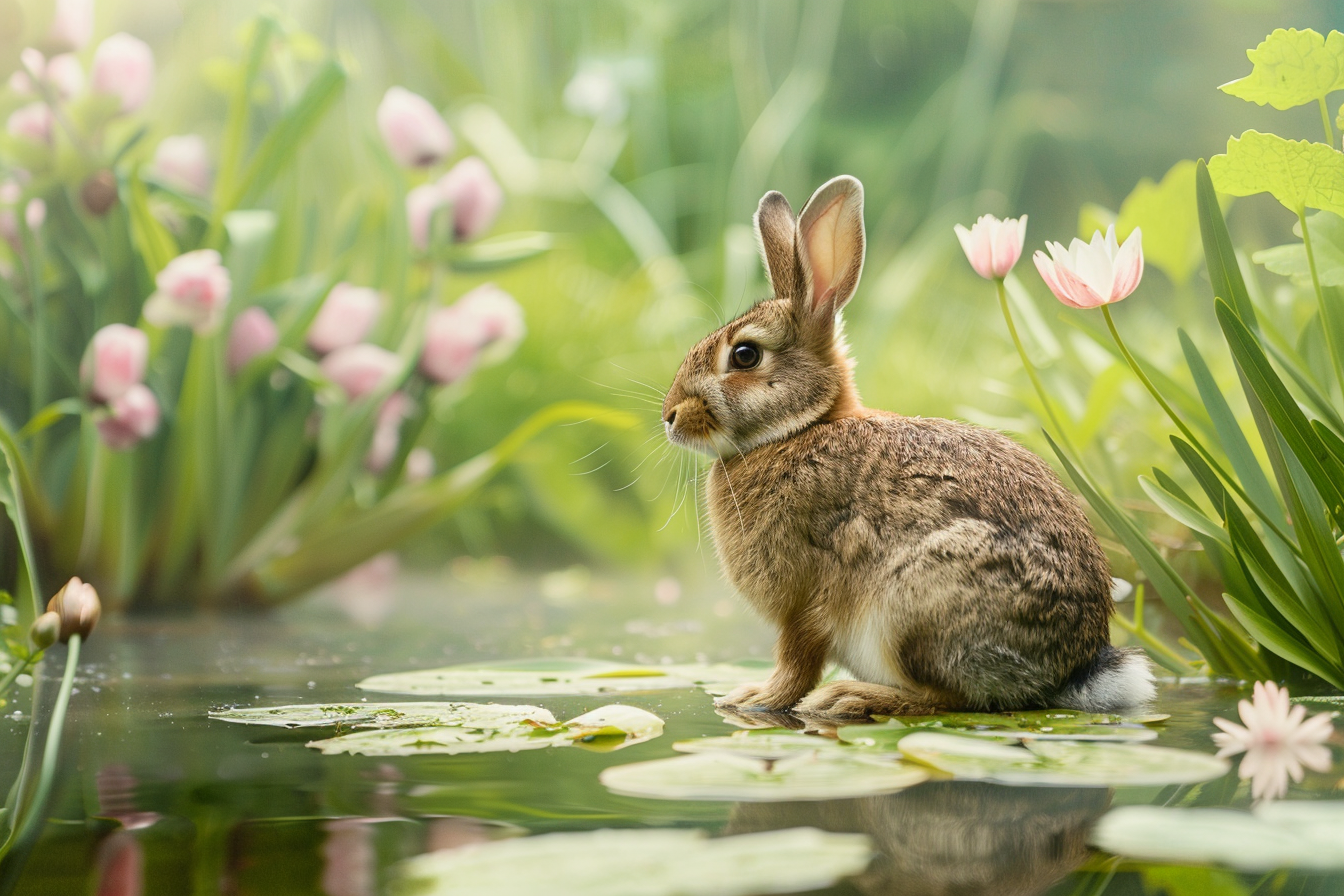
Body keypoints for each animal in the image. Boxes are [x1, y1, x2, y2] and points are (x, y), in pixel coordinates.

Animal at [661, 174, 1155, 719]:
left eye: (745, 355)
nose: (670, 416)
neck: (800, 430)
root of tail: (1074, 667)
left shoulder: (806, 601)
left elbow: (797, 662)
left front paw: (756, 699)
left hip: (910, 608)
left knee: (948, 698)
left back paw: (848, 697)